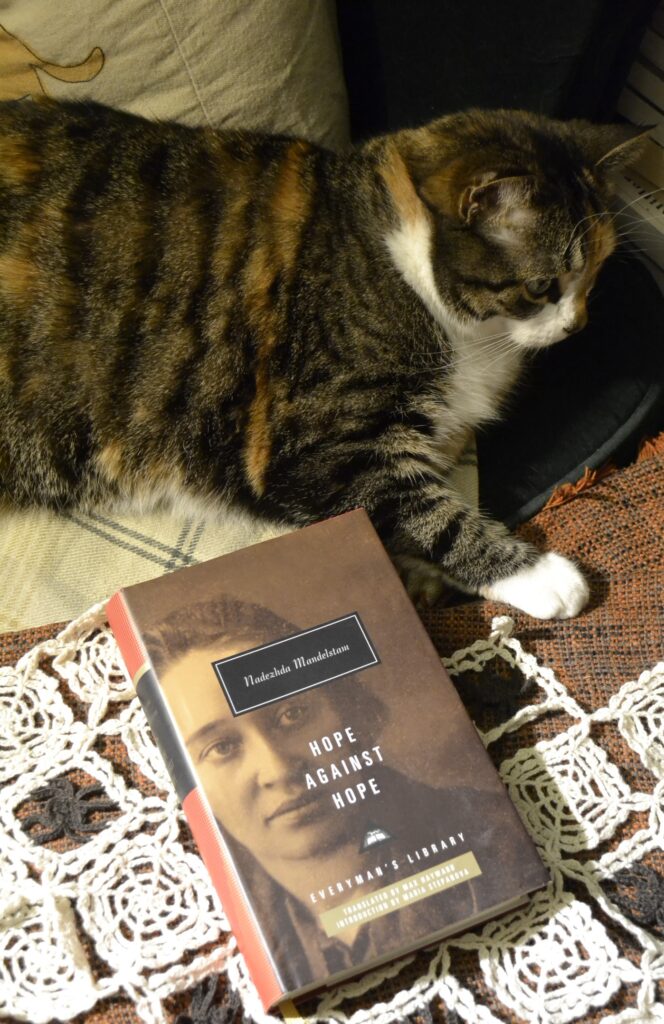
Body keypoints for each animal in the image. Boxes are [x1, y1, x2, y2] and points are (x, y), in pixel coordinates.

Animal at [0, 99, 647, 614]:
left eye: (595, 276)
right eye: (542, 287)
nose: (576, 324)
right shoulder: (310, 445)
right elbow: (428, 511)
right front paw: (540, 576)